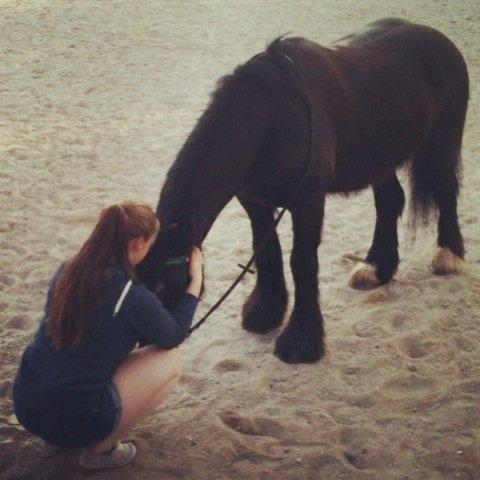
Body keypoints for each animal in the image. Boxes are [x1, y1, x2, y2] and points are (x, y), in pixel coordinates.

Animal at [137, 18, 466, 364]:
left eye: (161, 286)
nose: (148, 343)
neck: (273, 119)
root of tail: (438, 39)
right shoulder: (255, 202)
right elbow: (267, 251)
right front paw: (265, 312)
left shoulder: (308, 201)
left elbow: (302, 262)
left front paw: (301, 341)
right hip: (380, 158)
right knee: (390, 201)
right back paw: (376, 268)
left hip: (441, 143)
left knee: (446, 194)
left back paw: (448, 256)